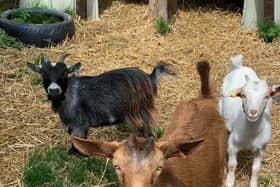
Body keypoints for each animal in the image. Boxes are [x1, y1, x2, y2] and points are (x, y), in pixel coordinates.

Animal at [26, 53, 175, 153]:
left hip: (140, 111)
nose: (54, 90)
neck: (69, 95)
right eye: (43, 74)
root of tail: (149, 77)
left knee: (148, 132)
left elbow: (76, 143)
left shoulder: (79, 125)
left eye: (64, 74)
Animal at [219, 54, 280, 187]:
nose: (253, 112)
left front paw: (253, 183)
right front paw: (229, 181)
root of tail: (240, 67)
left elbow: (256, 169)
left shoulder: (261, 148)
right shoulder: (232, 144)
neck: (250, 134)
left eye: (266, 96)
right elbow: (232, 164)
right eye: (243, 95)